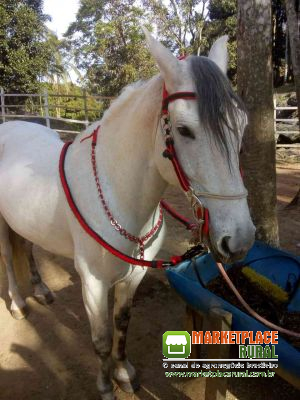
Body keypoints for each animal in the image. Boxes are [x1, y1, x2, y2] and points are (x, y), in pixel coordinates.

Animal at [0, 32, 254, 400]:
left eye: (241, 125)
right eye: (184, 130)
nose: (240, 240)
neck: (118, 192)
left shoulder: (134, 275)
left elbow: (122, 325)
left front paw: (124, 373)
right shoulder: (93, 283)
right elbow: (101, 339)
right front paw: (106, 385)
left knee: (28, 247)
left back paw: (42, 289)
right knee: (8, 256)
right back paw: (19, 303)